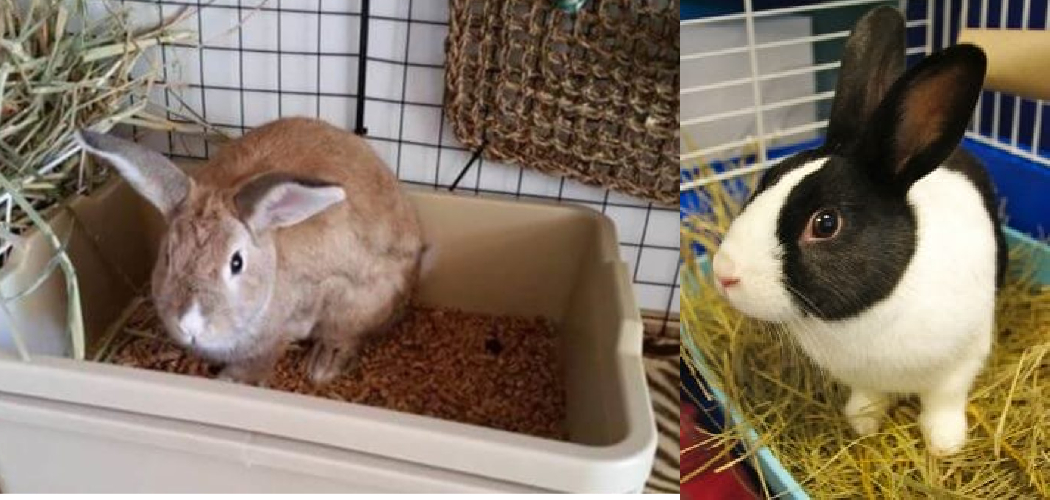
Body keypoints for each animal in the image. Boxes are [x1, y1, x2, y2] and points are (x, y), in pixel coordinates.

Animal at [77, 117, 426, 386]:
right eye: (168, 257)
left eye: (236, 263)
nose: (189, 324)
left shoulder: (289, 325)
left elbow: (263, 358)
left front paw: (232, 379)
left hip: (363, 300)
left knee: (349, 333)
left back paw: (323, 365)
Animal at [710, 6, 1006, 457]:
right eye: (767, 178)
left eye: (825, 223)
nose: (723, 273)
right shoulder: (863, 377)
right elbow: (869, 396)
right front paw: (861, 424)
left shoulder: (962, 362)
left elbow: (943, 401)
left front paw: (945, 444)